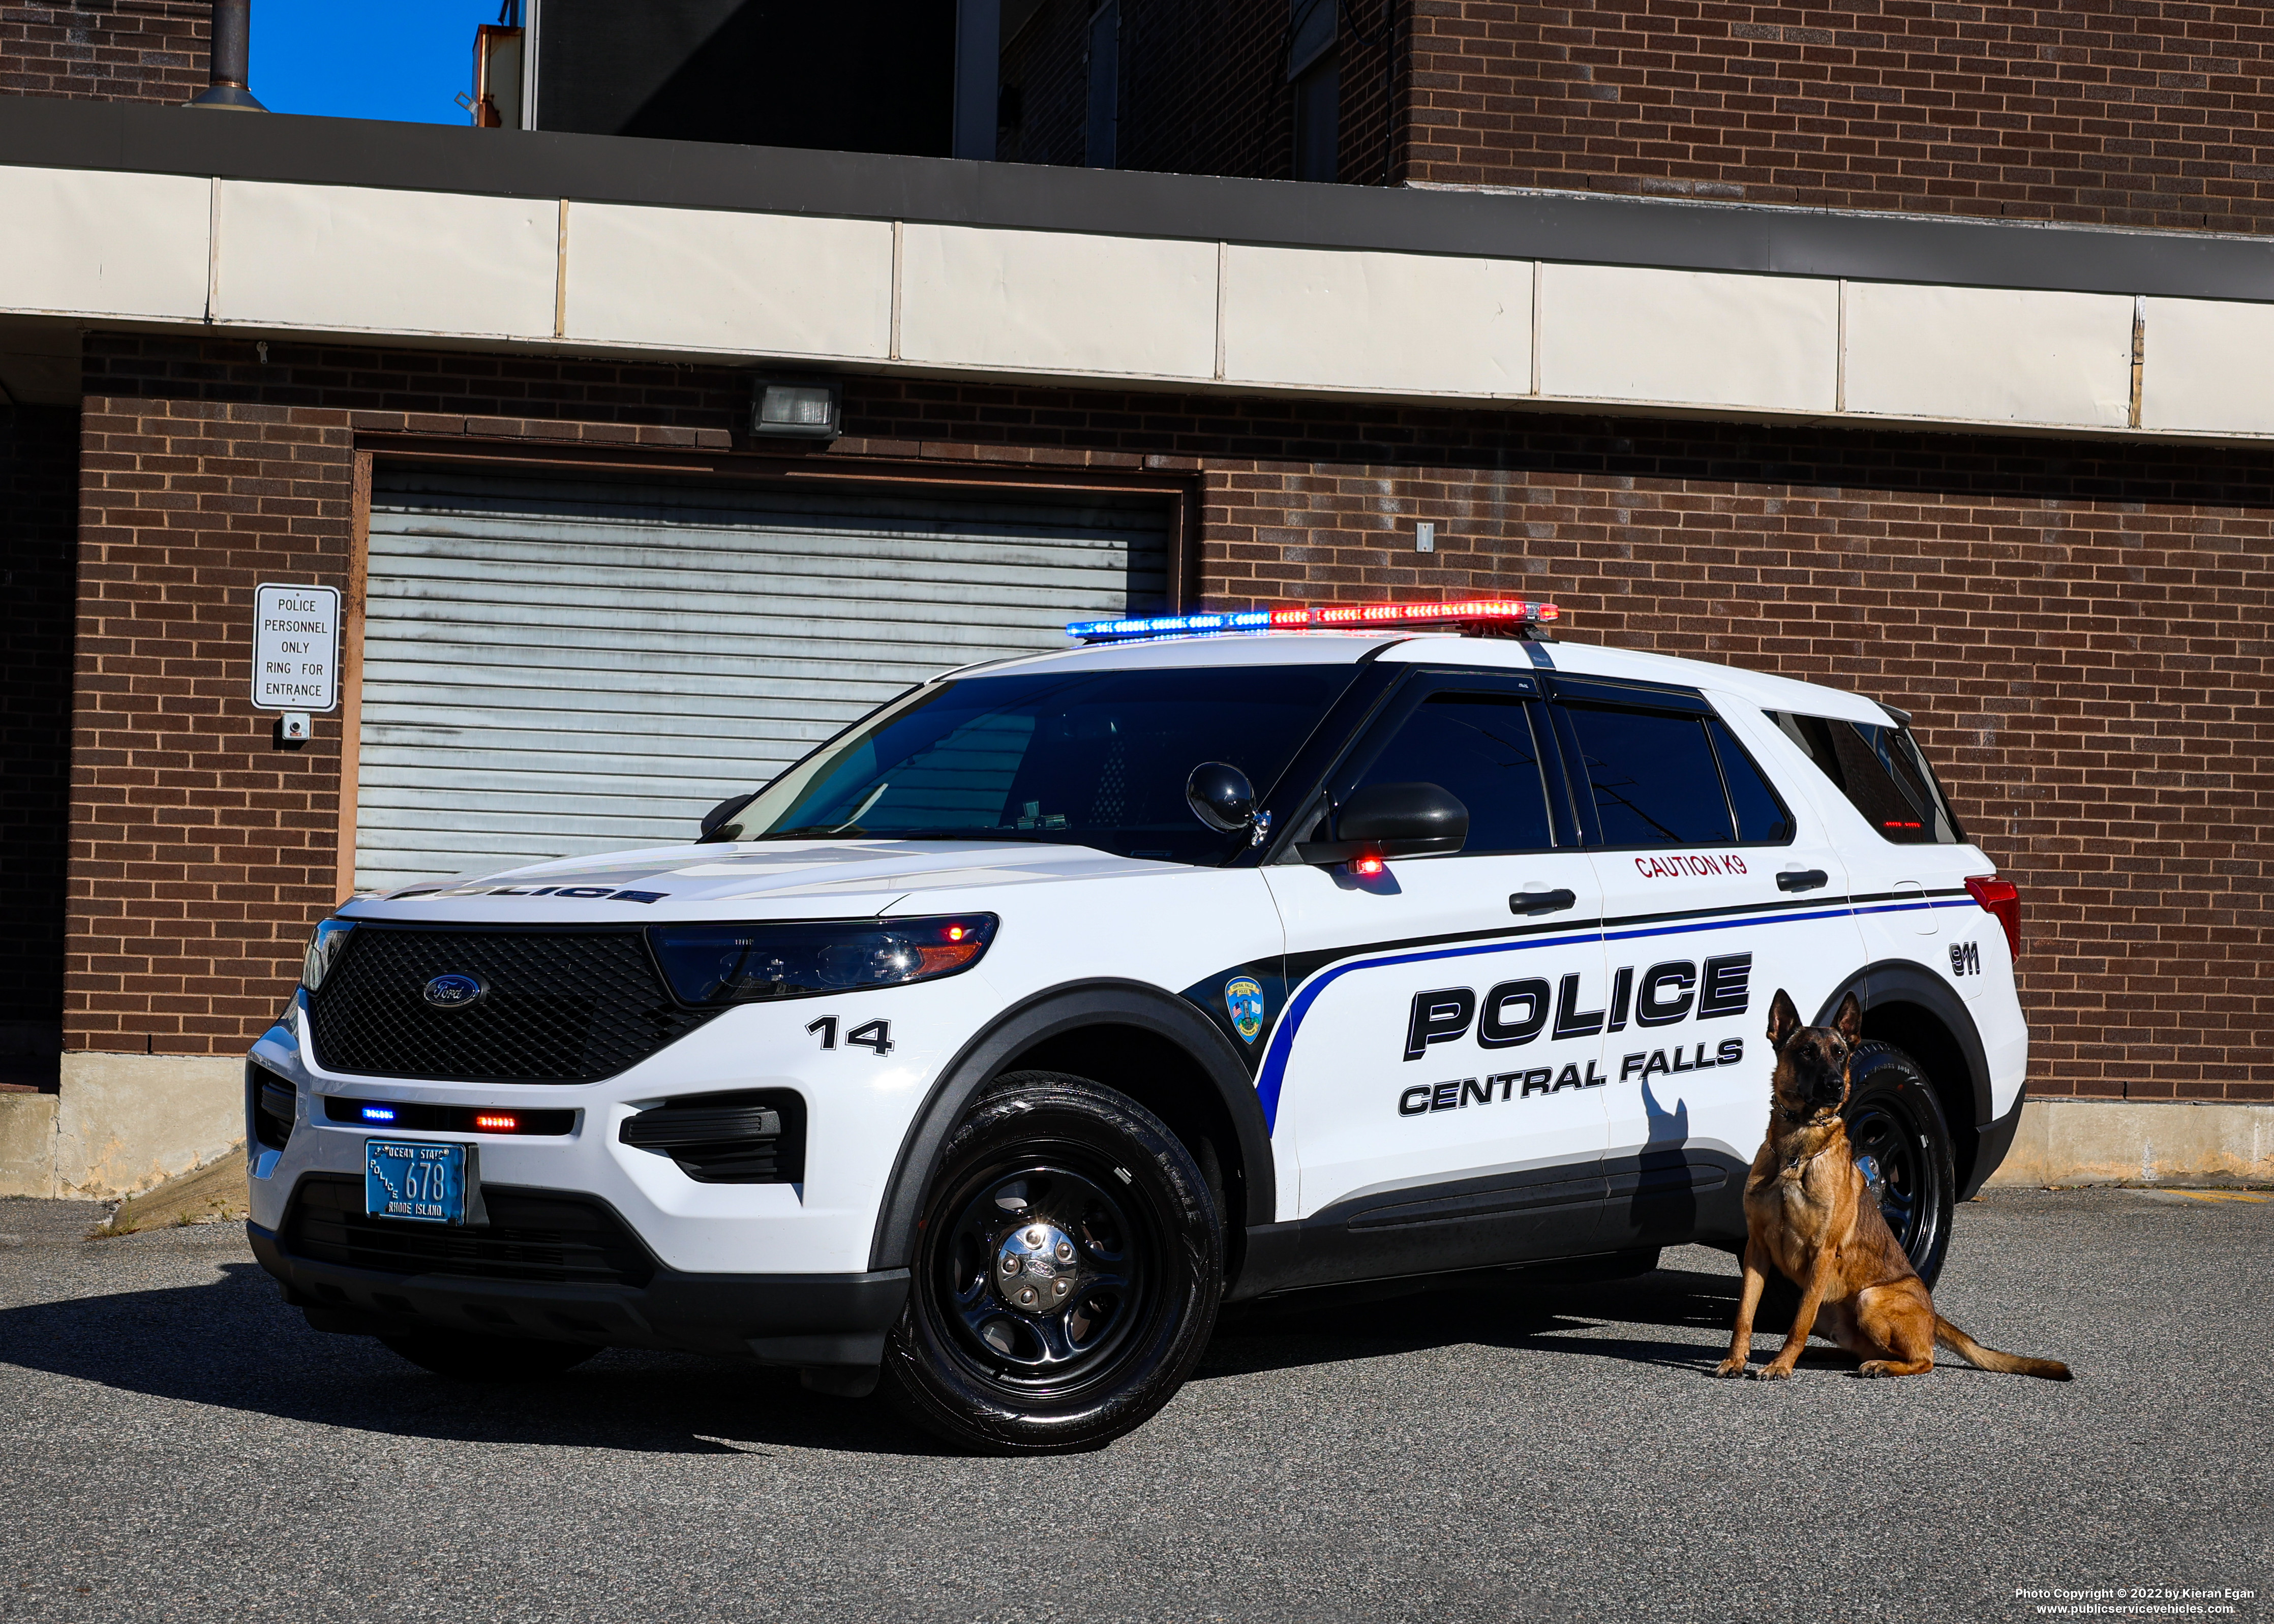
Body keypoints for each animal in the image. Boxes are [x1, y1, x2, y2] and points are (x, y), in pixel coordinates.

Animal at [1710, 987, 2074, 1383]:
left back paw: (1878, 1365)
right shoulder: (1757, 1249)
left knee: (1923, 1358)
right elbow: (1744, 1314)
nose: (1836, 1085)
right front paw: (1736, 1359)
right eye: (1806, 1051)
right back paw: (1831, 1355)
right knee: (1860, 1346)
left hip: (1868, 1299)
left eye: (1840, 1054)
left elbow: (1797, 1324)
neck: (1798, 1151)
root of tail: (1933, 1314)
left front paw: (1781, 1364)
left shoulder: (1822, 1253)